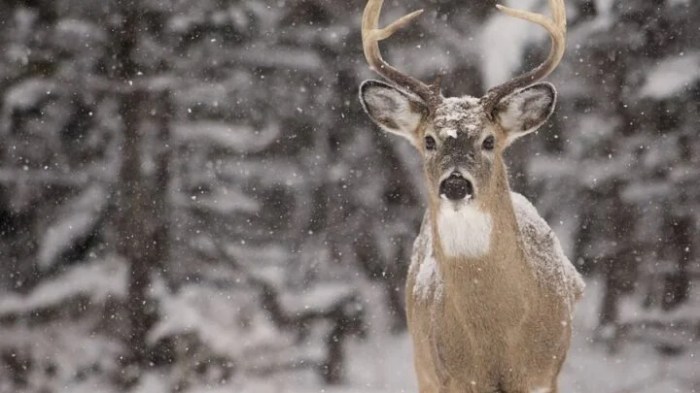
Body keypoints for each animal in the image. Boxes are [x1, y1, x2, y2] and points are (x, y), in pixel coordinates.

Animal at [356, 0, 584, 392]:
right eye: (429, 140)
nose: (456, 185)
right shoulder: (451, 378)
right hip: (422, 365)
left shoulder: (543, 376)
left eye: (489, 140)